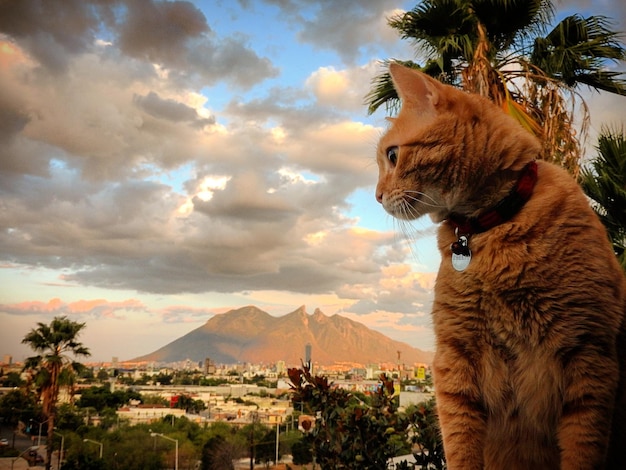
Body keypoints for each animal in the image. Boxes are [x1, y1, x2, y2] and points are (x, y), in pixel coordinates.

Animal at [376, 63, 624, 470]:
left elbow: (581, 448)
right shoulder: (456, 356)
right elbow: (461, 446)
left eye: (393, 155)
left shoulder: (589, 353)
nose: (377, 196)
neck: (492, 224)